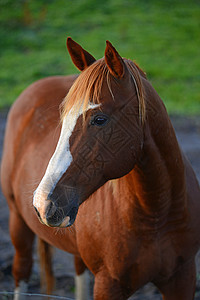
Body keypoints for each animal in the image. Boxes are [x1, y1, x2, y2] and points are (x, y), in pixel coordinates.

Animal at [0, 38, 200, 300]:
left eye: (100, 119)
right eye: (63, 119)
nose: (43, 203)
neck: (156, 214)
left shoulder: (182, 278)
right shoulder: (109, 285)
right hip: (18, 222)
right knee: (21, 270)